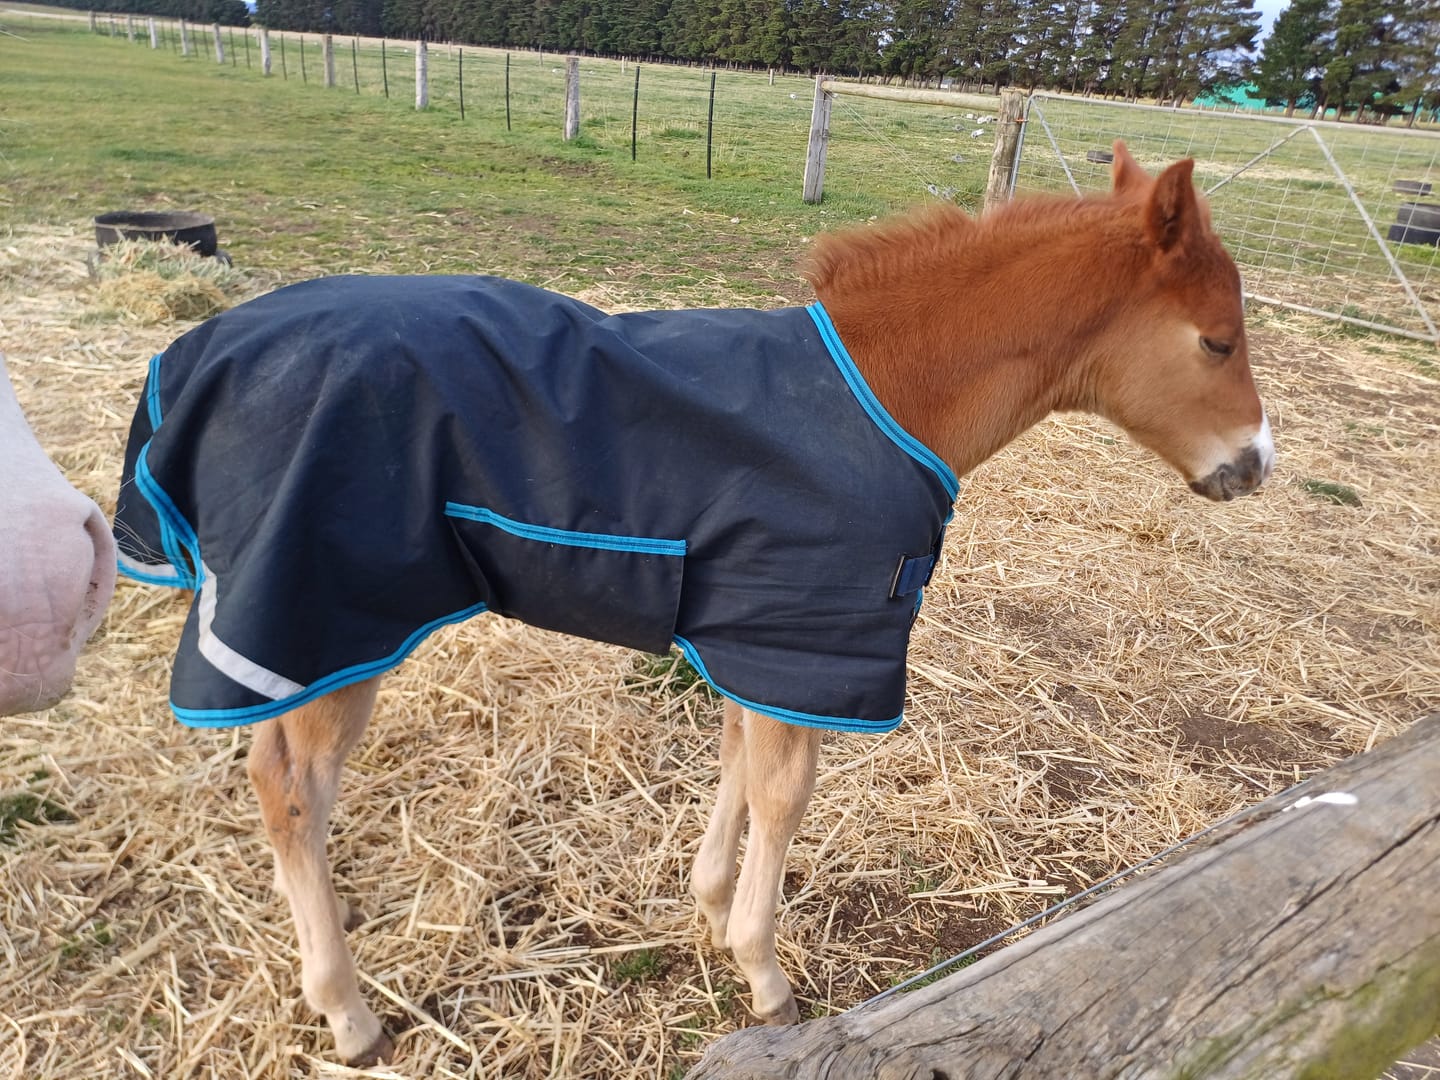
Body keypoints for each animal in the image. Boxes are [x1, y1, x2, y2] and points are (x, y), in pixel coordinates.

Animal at [112, 141, 1273, 1064]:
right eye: (1217, 340)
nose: (1255, 465)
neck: (883, 391)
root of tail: (197, 350)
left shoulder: (755, 629)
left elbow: (736, 761)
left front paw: (713, 905)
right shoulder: (813, 635)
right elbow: (785, 792)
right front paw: (764, 973)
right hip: (322, 618)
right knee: (287, 786)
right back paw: (348, 1012)